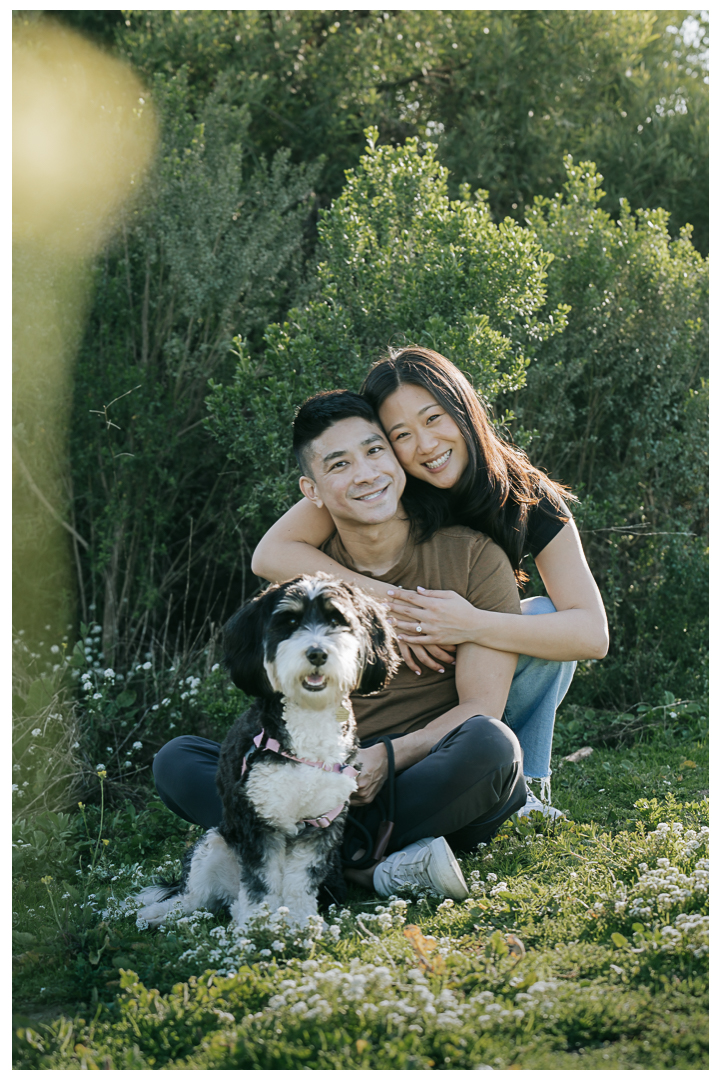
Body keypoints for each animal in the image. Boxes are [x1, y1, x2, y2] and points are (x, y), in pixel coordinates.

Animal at [134, 574, 399, 928]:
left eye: (336, 620)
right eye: (289, 622)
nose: (317, 653)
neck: (307, 728)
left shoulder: (322, 826)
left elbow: (300, 883)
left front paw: (303, 924)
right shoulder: (259, 822)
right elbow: (261, 884)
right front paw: (257, 928)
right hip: (216, 843)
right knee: (194, 899)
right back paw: (157, 914)